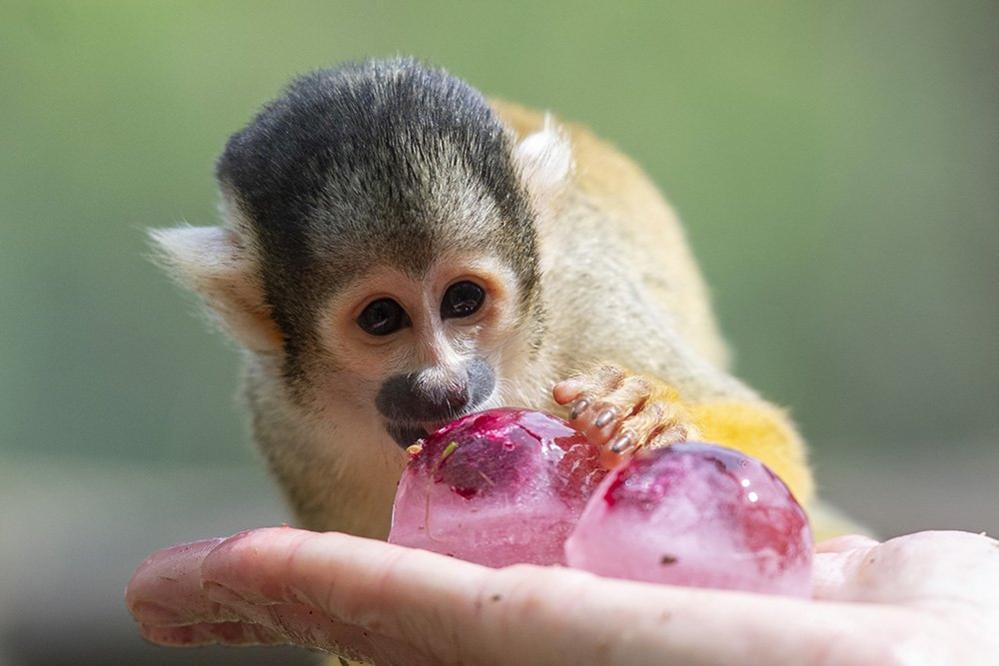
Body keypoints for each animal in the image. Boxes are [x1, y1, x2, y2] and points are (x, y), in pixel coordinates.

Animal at [152, 58, 848, 540]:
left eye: (463, 300)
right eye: (381, 317)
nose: (443, 387)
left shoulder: (583, 301)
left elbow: (769, 449)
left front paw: (650, 416)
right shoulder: (284, 420)